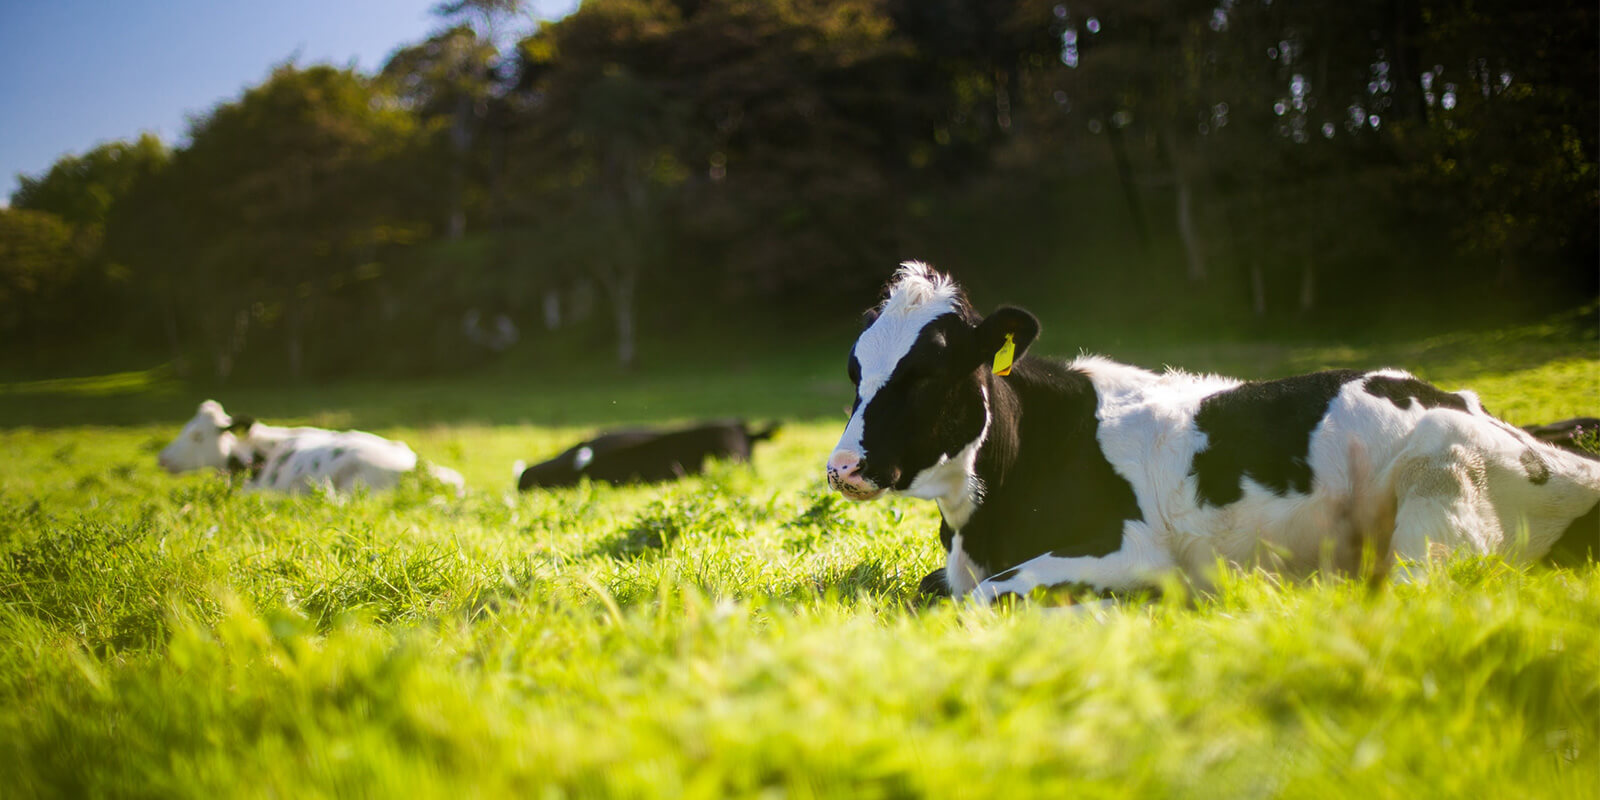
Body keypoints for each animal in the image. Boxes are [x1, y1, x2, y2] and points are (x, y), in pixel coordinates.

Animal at [825, 262, 1600, 601]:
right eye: (854, 368)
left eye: (928, 372)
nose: (842, 467)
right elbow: (937, 589)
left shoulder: (1129, 547)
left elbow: (990, 595)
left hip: (1439, 496)